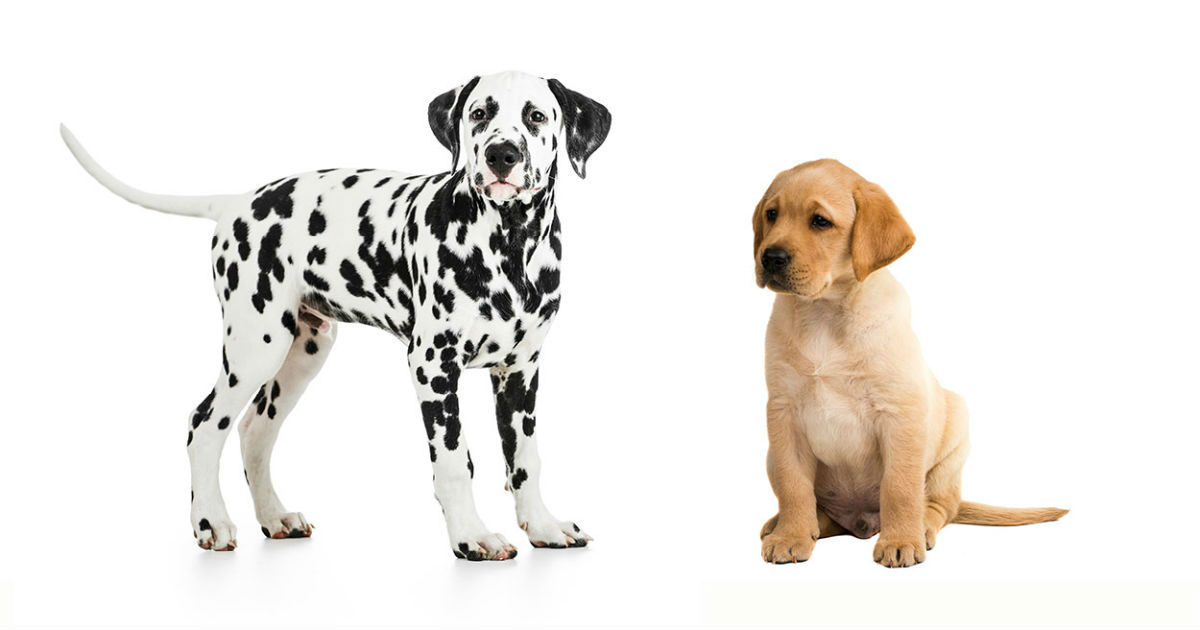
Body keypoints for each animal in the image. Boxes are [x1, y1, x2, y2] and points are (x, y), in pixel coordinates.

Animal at [753, 157, 1065, 564]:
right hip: (772, 456)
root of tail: (861, 522)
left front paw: (900, 541)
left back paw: (920, 530)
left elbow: (899, 487)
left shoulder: (900, 412)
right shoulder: (783, 412)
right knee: (819, 509)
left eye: (820, 221)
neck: (825, 312)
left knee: (937, 506)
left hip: (953, 440)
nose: (769, 257)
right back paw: (789, 525)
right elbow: (794, 485)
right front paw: (791, 534)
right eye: (772, 215)